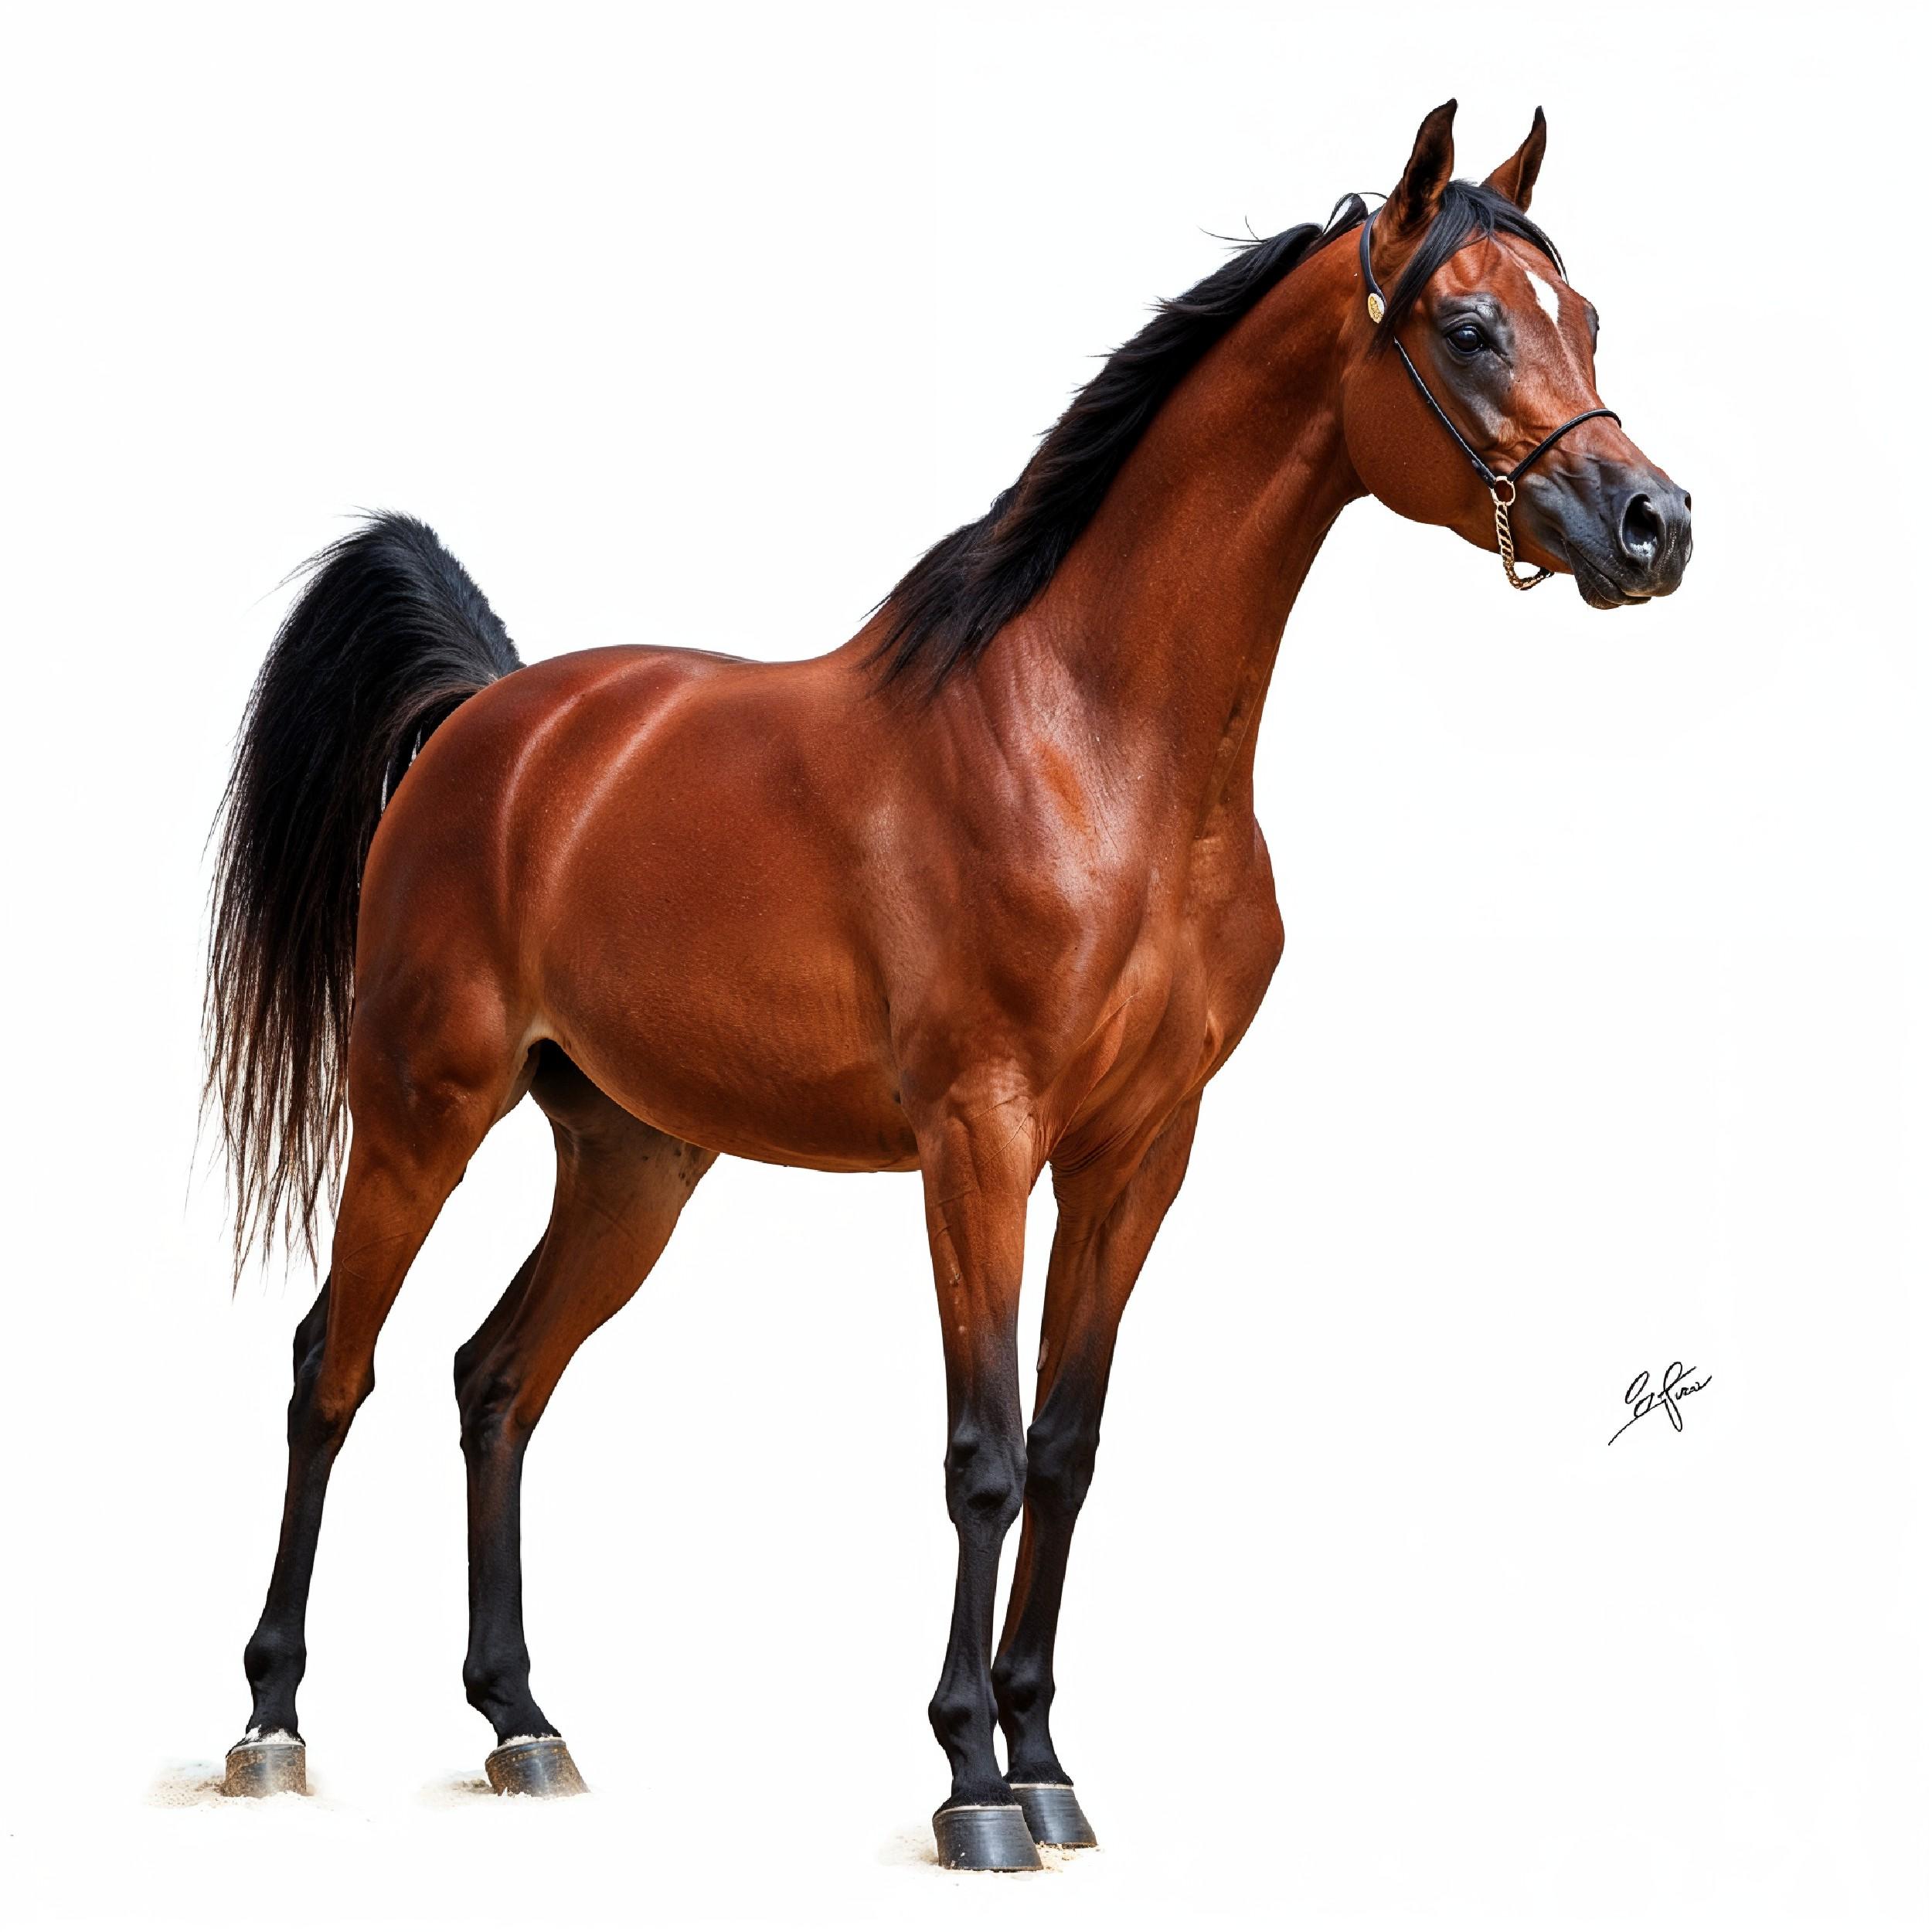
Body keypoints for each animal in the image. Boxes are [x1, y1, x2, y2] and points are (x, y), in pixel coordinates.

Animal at [204, 101, 1691, 1868]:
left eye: (1583, 315)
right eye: (1467, 328)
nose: (1652, 523)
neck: (1093, 745)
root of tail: (495, 723)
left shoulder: (1137, 1153)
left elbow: (1067, 1446)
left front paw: (1045, 1759)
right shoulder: (979, 1137)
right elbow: (980, 1454)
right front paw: (972, 1781)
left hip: (633, 1157)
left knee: (492, 1377)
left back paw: (523, 1721)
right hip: (423, 1105)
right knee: (329, 1367)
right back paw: (269, 1722)